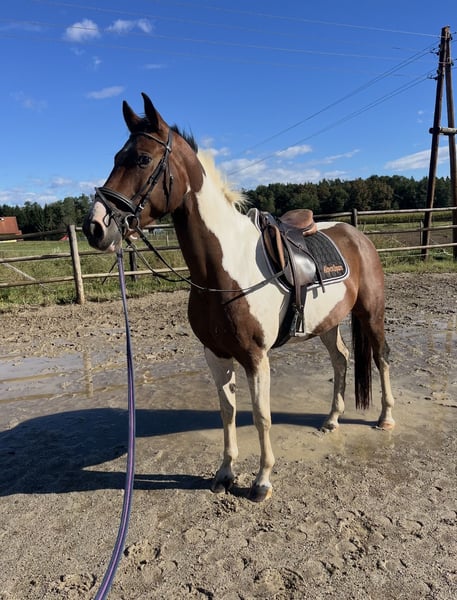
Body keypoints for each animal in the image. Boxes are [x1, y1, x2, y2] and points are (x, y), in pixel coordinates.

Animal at [83, 93, 395, 502]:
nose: (95, 227)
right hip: (327, 323)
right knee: (341, 361)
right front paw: (225, 473)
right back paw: (331, 420)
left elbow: (261, 416)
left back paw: (386, 418)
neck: (223, 270)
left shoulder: (255, 358)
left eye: (142, 159)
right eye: (116, 158)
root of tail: (358, 236)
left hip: (371, 313)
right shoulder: (215, 355)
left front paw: (262, 481)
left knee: (380, 357)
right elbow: (226, 412)